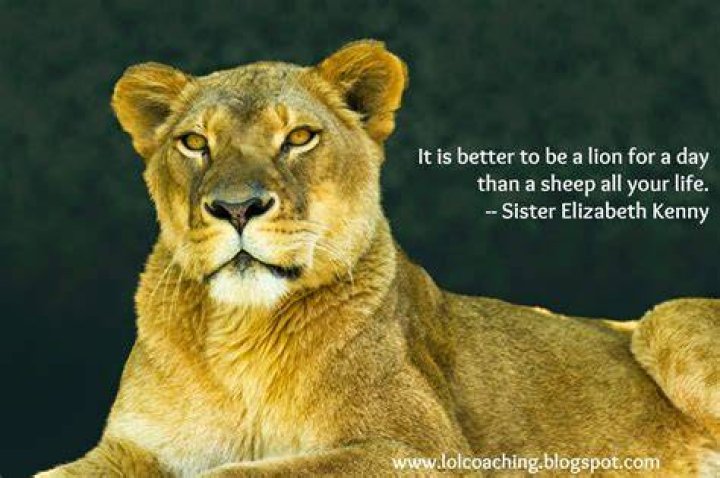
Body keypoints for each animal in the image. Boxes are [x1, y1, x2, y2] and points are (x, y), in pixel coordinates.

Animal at [37, 40, 719, 477]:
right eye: (194, 142)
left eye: (299, 137)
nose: (236, 207)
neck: (240, 335)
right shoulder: (132, 446)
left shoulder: (424, 450)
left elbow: (246, 472)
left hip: (668, 320)